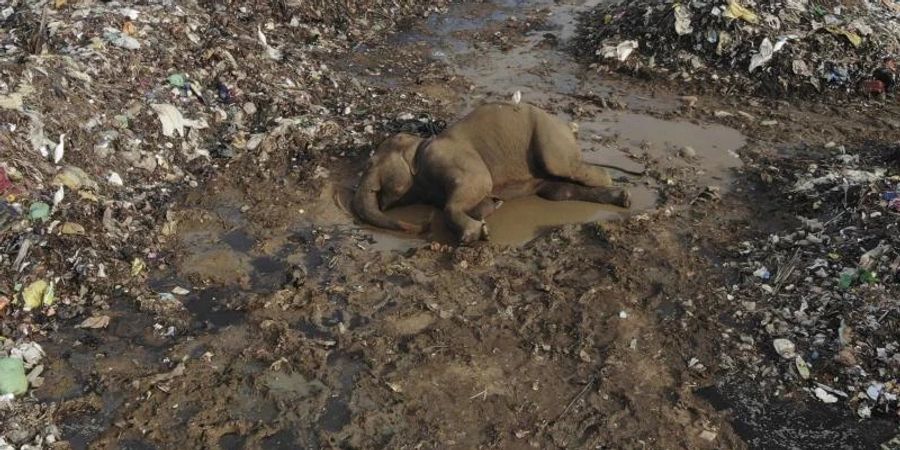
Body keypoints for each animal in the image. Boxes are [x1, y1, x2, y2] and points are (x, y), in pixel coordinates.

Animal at [352, 101, 632, 243]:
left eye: (370, 163)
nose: (423, 226)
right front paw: (492, 207)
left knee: (565, 167)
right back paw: (622, 198)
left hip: (550, 137)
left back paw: (611, 181)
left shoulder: (451, 158)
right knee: (559, 191)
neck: (420, 146)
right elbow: (476, 199)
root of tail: (568, 127)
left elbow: (479, 184)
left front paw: (477, 234)